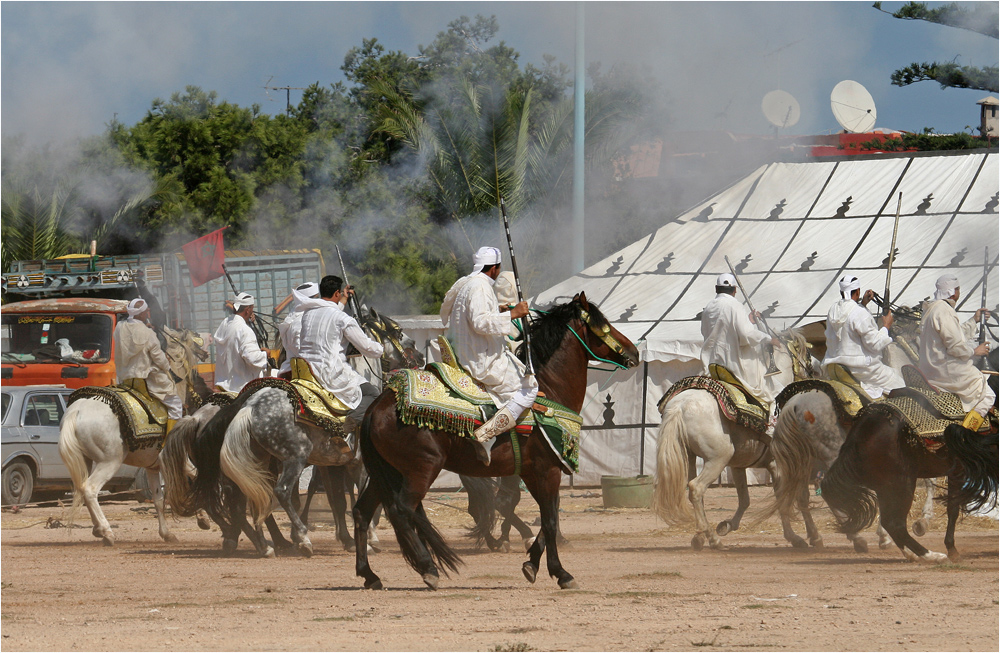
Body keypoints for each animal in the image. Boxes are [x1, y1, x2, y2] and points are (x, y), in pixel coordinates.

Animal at [58, 326, 213, 544]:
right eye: (193, 340)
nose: (206, 390)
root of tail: (76, 410)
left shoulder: (152, 466)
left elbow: (158, 499)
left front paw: (167, 533)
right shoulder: (177, 458)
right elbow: (194, 476)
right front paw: (203, 518)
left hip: (85, 461)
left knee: (80, 488)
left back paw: (97, 529)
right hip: (109, 462)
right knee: (90, 489)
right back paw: (106, 531)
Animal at [352, 292, 636, 588]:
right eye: (604, 326)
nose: (635, 352)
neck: (550, 390)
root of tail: (376, 407)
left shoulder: (533, 472)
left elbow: (548, 516)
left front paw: (531, 564)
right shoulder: (548, 470)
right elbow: (549, 520)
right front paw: (560, 572)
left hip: (385, 472)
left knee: (362, 512)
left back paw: (369, 574)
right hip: (421, 469)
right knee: (402, 510)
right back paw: (428, 567)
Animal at [648, 328, 820, 548]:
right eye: (807, 353)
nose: (816, 369)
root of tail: (680, 405)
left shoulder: (740, 465)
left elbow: (746, 499)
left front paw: (727, 525)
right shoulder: (782, 464)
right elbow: (794, 497)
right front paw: (806, 537)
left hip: (690, 457)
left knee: (692, 489)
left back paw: (700, 536)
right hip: (718, 458)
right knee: (696, 488)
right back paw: (712, 540)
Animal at [816, 404, 996, 564]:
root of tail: (856, 436)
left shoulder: (957, 471)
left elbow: (953, 509)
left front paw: (951, 548)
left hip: (886, 488)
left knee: (891, 523)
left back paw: (912, 554)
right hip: (901, 485)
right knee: (895, 524)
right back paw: (931, 556)